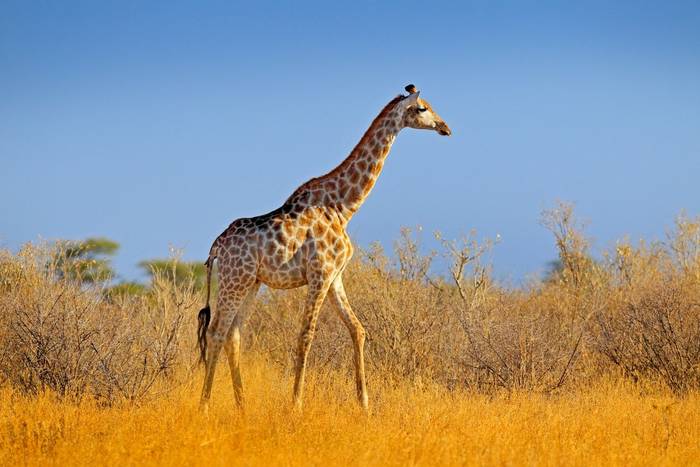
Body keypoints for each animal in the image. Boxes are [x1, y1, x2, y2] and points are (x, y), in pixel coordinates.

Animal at [197, 84, 451, 411]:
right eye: (422, 108)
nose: (445, 127)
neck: (344, 207)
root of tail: (216, 246)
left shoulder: (334, 275)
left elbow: (358, 329)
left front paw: (365, 405)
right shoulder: (320, 273)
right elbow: (306, 336)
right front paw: (296, 405)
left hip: (252, 282)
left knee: (233, 334)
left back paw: (243, 407)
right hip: (234, 280)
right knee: (216, 332)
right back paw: (204, 406)